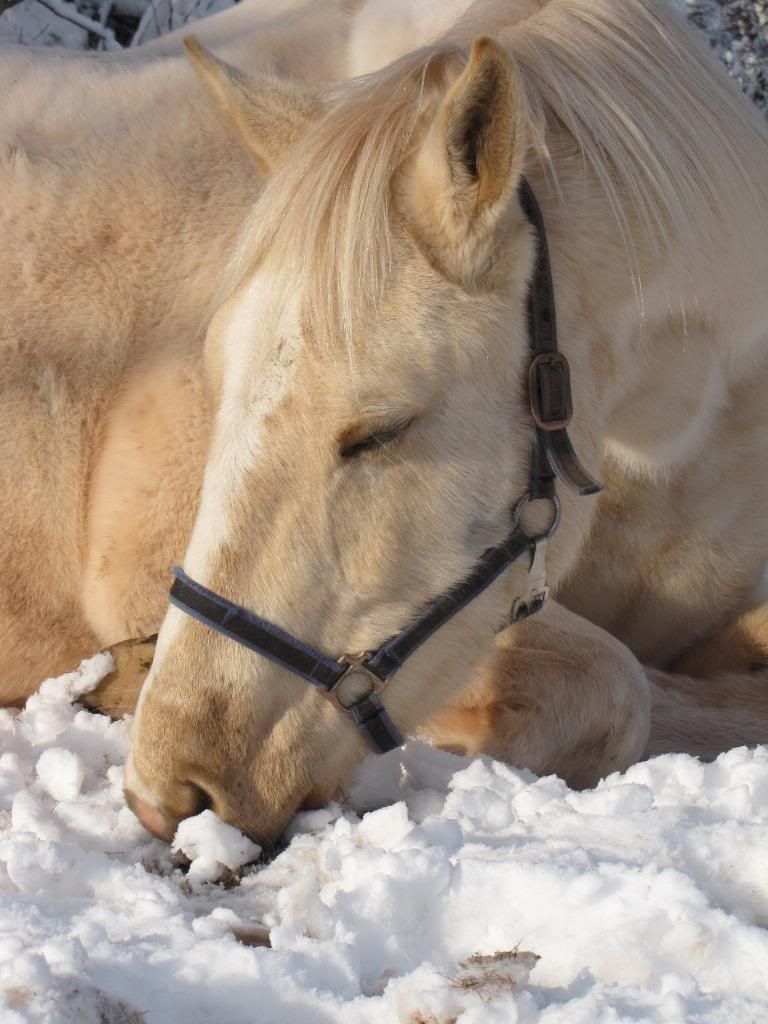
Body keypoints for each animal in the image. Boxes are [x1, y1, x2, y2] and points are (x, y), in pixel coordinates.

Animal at [4, 0, 768, 847]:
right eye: (213, 387)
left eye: (380, 432)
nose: (167, 791)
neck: (674, 446)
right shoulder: (141, 568)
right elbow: (616, 687)